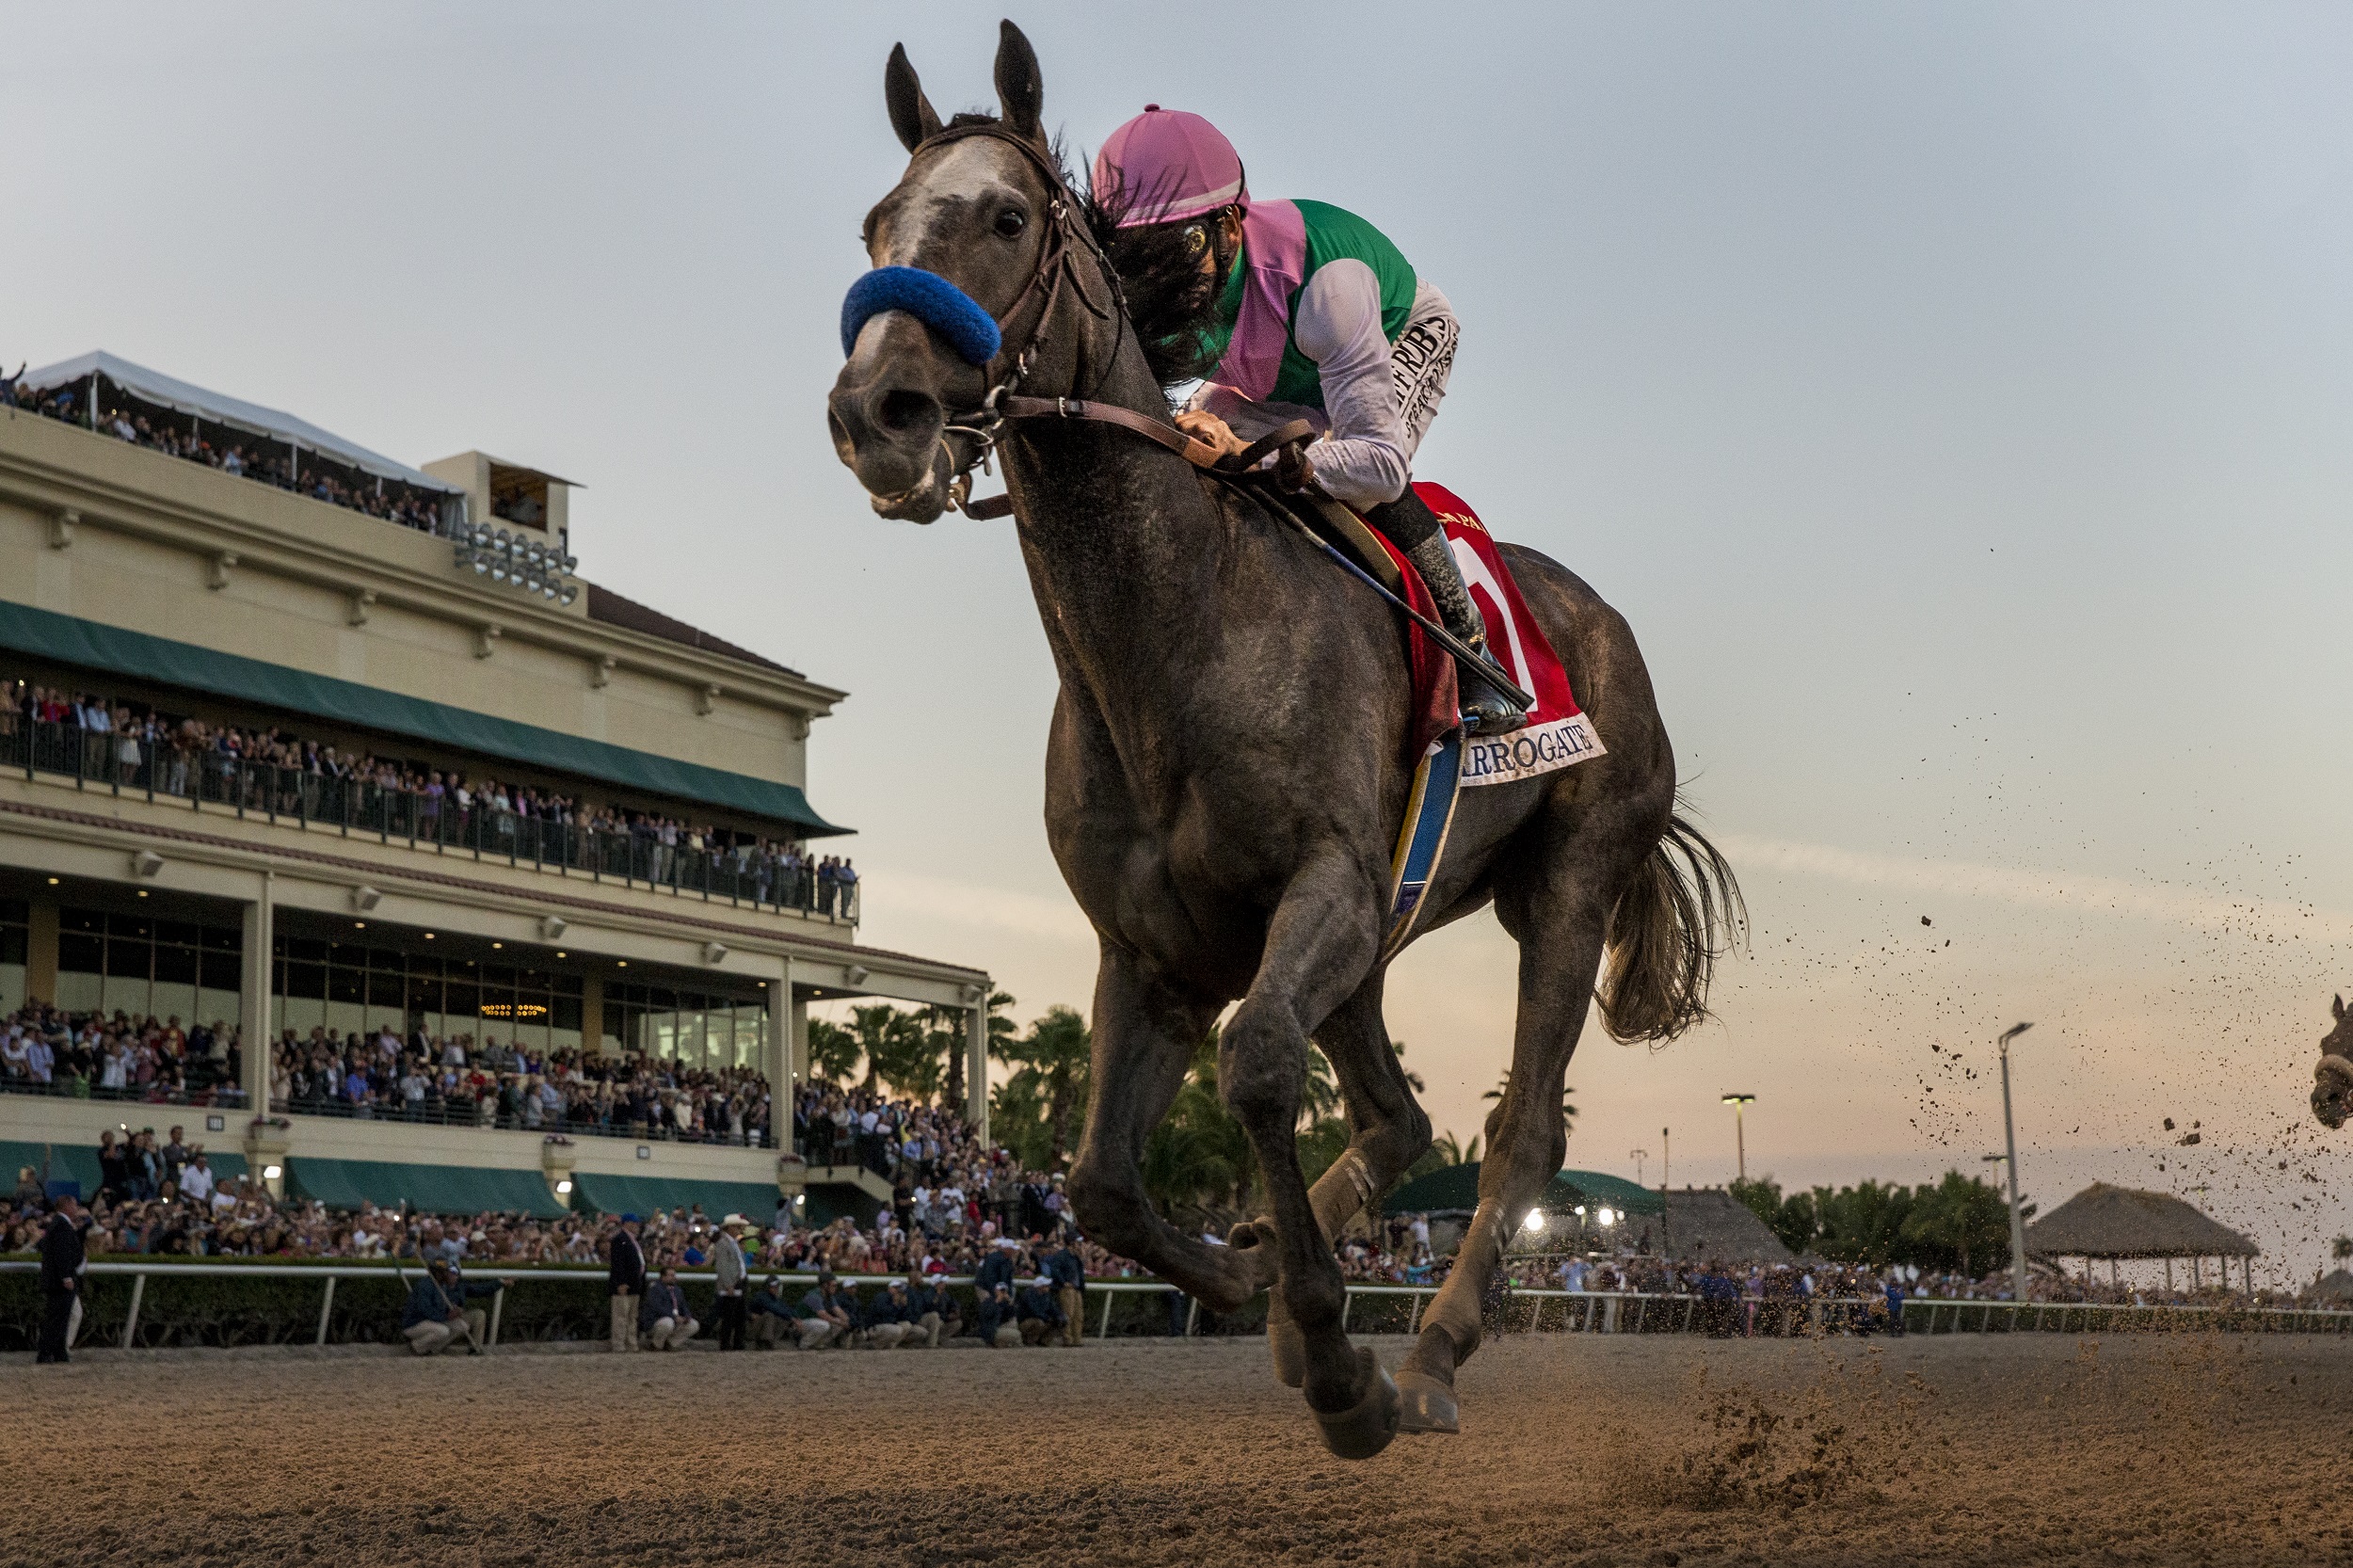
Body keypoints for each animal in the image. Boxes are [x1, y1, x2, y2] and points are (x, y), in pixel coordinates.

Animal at [826, 20, 1742, 1458]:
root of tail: (1606, 630)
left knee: (1520, 1133)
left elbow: (1255, 1061)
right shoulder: (1156, 947)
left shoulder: (1327, 883)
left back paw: (1425, 1355)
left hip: (1567, 880)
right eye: (876, 225)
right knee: (1400, 1114)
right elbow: (1099, 1185)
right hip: (1381, 936)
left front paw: (1338, 1361)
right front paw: (1255, 1268)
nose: (879, 411)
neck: (1181, 634)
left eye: (1008, 215)